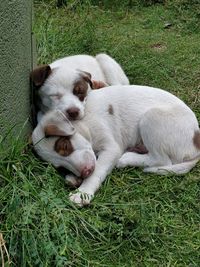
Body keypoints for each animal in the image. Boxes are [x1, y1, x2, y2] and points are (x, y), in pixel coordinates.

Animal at [31, 86, 200, 207]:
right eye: (60, 167)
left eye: (65, 145)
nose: (85, 172)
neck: (84, 123)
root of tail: (196, 144)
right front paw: (73, 178)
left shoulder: (111, 149)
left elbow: (97, 171)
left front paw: (82, 193)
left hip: (151, 117)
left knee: (162, 160)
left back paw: (127, 158)